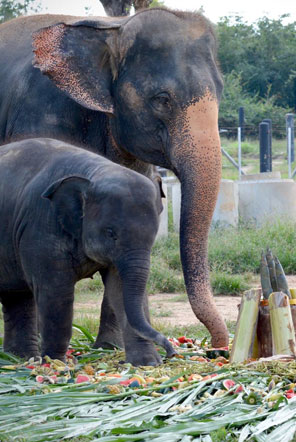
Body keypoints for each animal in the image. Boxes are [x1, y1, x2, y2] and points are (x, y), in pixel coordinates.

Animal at [0, 139, 176, 366]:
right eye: (111, 233)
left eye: (154, 235)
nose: (172, 353)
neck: (94, 173)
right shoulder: (40, 227)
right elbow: (56, 293)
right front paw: (57, 364)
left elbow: (119, 288)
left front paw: (147, 364)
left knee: (17, 296)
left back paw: (20, 358)